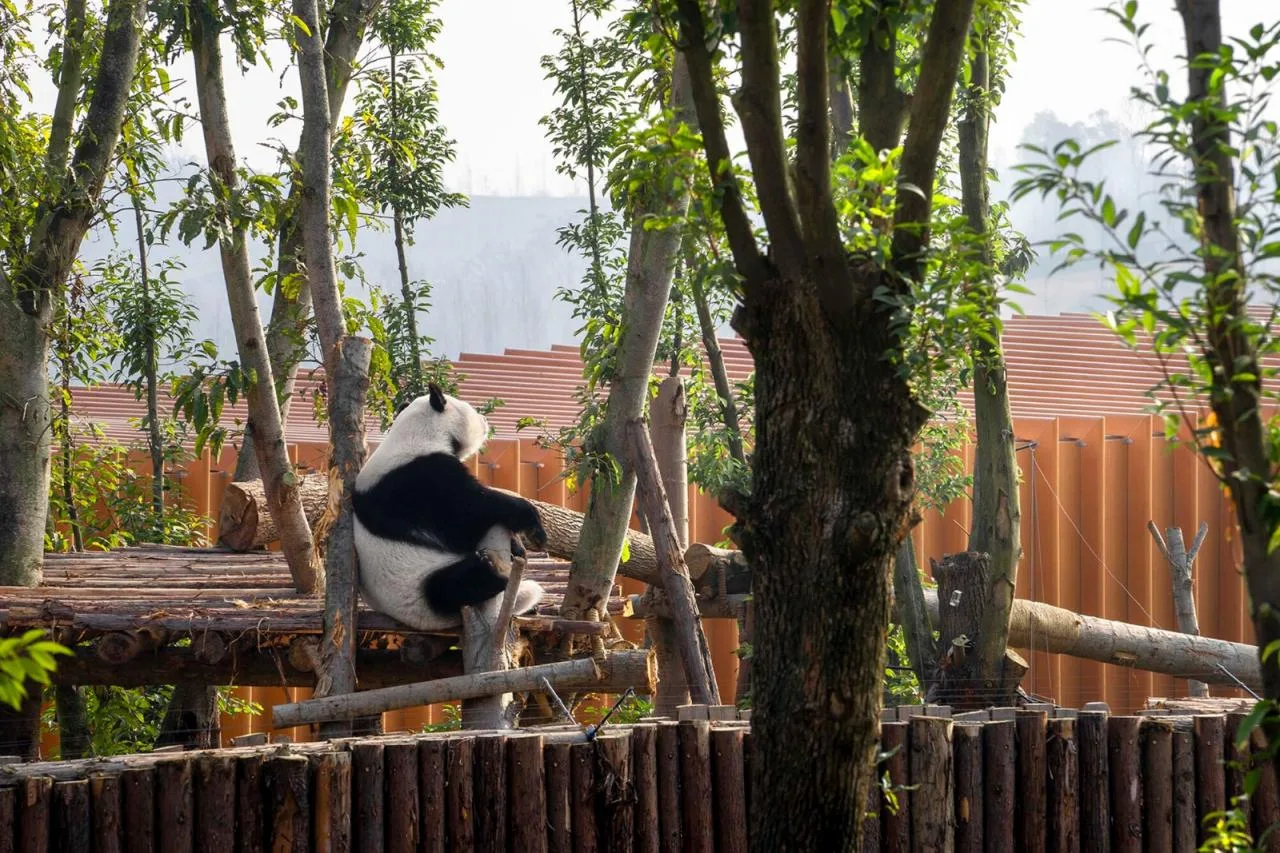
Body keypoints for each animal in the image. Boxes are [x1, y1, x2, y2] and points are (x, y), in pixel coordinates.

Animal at [352, 384, 548, 631]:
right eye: (473, 410)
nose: (485, 420)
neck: (417, 433)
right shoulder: (420, 480)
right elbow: (468, 515)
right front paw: (533, 528)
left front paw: (518, 546)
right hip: (418, 584)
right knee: (449, 587)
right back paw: (493, 571)